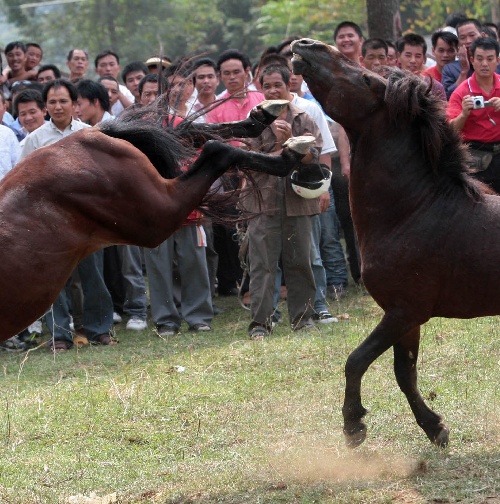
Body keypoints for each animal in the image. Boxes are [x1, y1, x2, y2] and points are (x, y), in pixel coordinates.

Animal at [0, 100, 314, 340]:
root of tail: (92, 136)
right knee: (188, 133)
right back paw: (261, 121)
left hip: (155, 217)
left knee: (214, 149)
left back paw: (287, 153)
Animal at [292, 40, 500, 448]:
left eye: (365, 78)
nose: (308, 45)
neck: (414, 211)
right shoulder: (406, 318)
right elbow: (405, 373)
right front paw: (435, 427)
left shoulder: (403, 312)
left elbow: (356, 360)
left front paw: (353, 426)